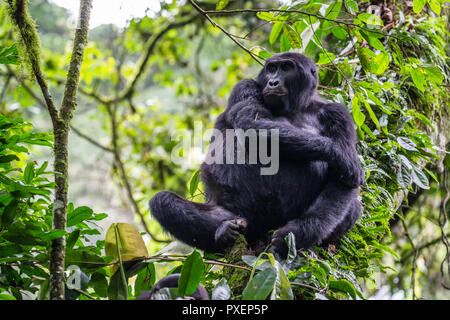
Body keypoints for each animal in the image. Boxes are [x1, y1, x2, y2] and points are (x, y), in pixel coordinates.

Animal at [149, 52, 364, 258]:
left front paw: (299, 233)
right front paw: (341, 155)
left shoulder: (338, 114)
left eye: (286, 68)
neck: (298, 107)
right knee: (163, 202)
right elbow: (252, 122)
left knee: (353, 207)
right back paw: (223, 233)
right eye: (272, 68)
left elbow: (341, 184)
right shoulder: (245, 86)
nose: (273, 82)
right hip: (240, 218)